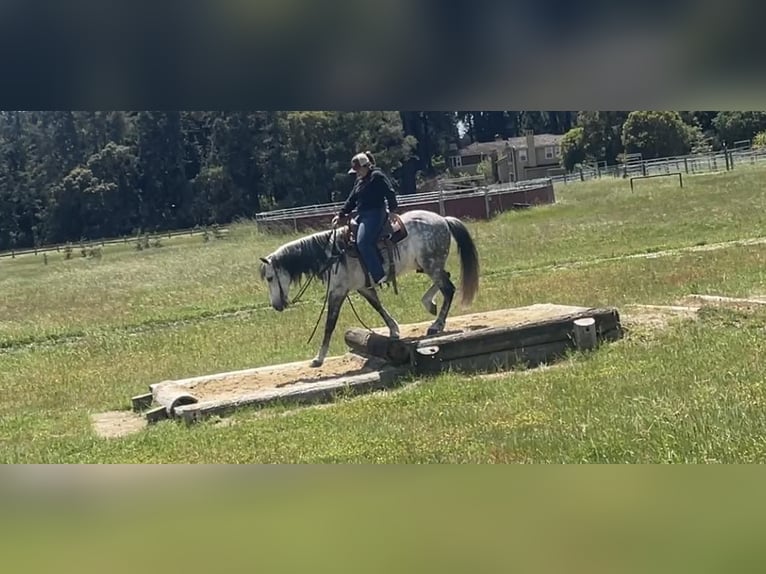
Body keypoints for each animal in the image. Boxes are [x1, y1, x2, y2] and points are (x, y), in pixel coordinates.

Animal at [260, 209, 484, 366]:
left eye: (270, 277)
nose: (276, 306)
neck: (332, 254)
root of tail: (443, 219)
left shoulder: (337, 292)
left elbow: (329, 324)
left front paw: (318, 358)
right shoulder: (362, 288)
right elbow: (378, 306)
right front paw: (394, 330)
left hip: (431, 264)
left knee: (449, 288)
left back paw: (436, 325)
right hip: (429, 265)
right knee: (445, 281)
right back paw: (429, 304)